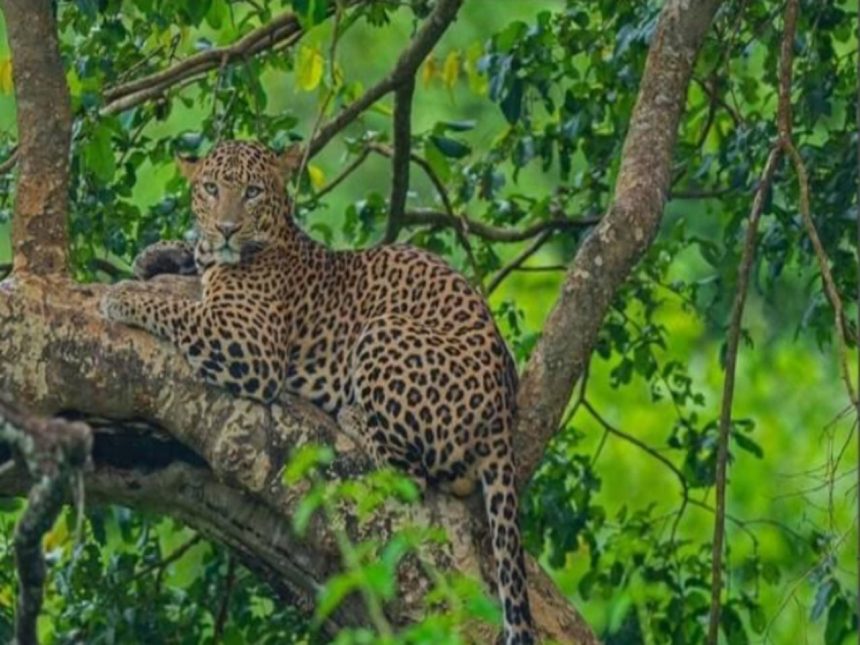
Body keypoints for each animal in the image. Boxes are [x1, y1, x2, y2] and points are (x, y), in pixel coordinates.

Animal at [101, 140, 535, 644]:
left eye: (252, 192)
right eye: (210, 189)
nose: (227, 228)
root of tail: (503, 411)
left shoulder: (250, 344)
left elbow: (175, 308)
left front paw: (125, 295)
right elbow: (190, 263)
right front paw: (159, 254)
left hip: (383, 332)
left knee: (413, 474)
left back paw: (354, 416)